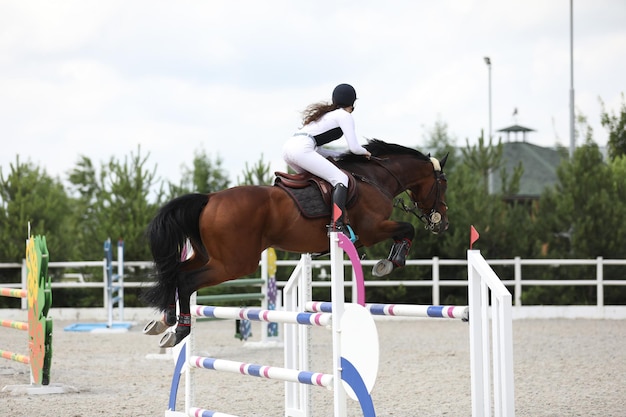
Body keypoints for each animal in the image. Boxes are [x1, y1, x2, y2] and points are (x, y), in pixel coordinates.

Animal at [143, 138, 444, 346]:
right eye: (443, 185)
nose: (442, 223)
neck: (374, 178)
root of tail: (209, 199)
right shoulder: (373, 229)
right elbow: (407, 229)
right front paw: (391, 262)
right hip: (234, 264)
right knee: (186, 281)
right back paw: (179, 330)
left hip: (208, 256)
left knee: (175, 273)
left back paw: (165, 320)